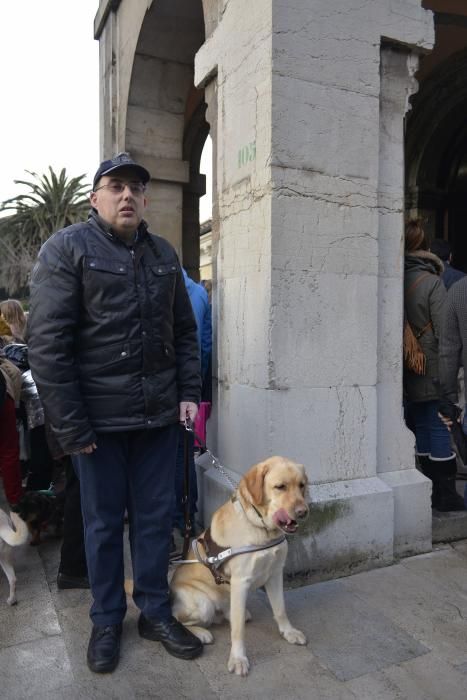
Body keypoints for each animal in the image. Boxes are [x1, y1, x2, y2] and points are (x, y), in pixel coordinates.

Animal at [170, 456, 308, 676]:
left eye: (302, 485)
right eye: (280, 487)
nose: (303, 512)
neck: (262, 528)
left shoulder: (275, 574)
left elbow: (280, 609)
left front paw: (288, 632)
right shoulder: (241, 582)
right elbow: (237, 631)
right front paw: (238, 659)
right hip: (203, 603)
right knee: (176, 617)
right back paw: (201, 633)